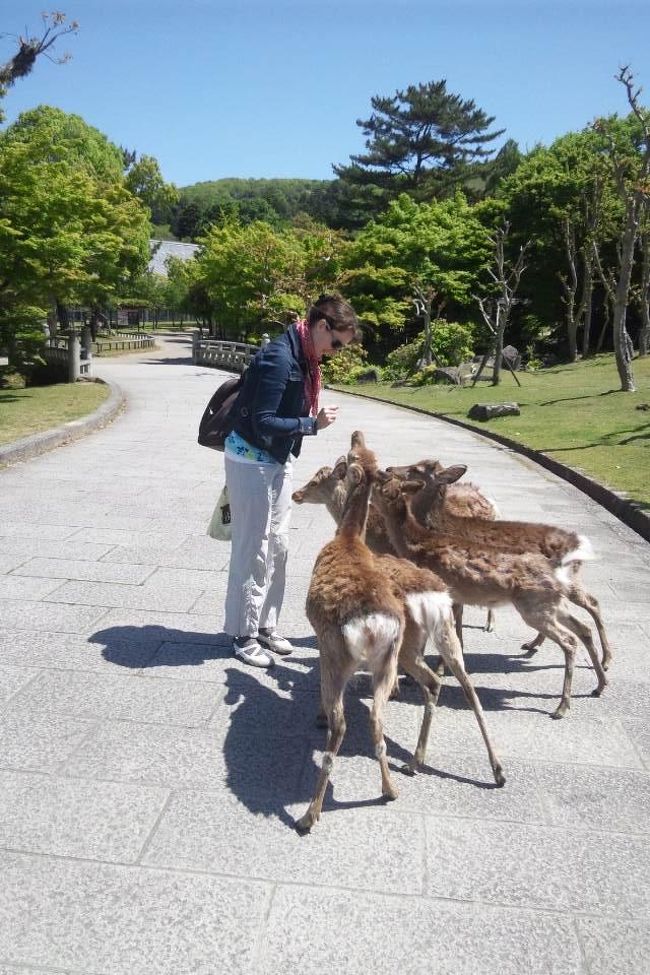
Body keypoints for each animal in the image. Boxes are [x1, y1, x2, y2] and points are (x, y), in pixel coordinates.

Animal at [297, 434, 504, 833]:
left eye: (320, 476)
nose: (297, 494)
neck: (349, 540)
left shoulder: (323, 642)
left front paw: (317, 714)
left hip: (360, 650)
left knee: (345, 723)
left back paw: (310, 813)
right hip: (430, 641)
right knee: (461, 687)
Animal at [371, 467, 609, 721]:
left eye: (381, 483)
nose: (381, 469)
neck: (415, 544)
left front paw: (413, 676)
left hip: (534, 607)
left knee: (571, 638)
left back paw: (562, 706)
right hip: (552, 605)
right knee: (583, 627)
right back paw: (599, 684)